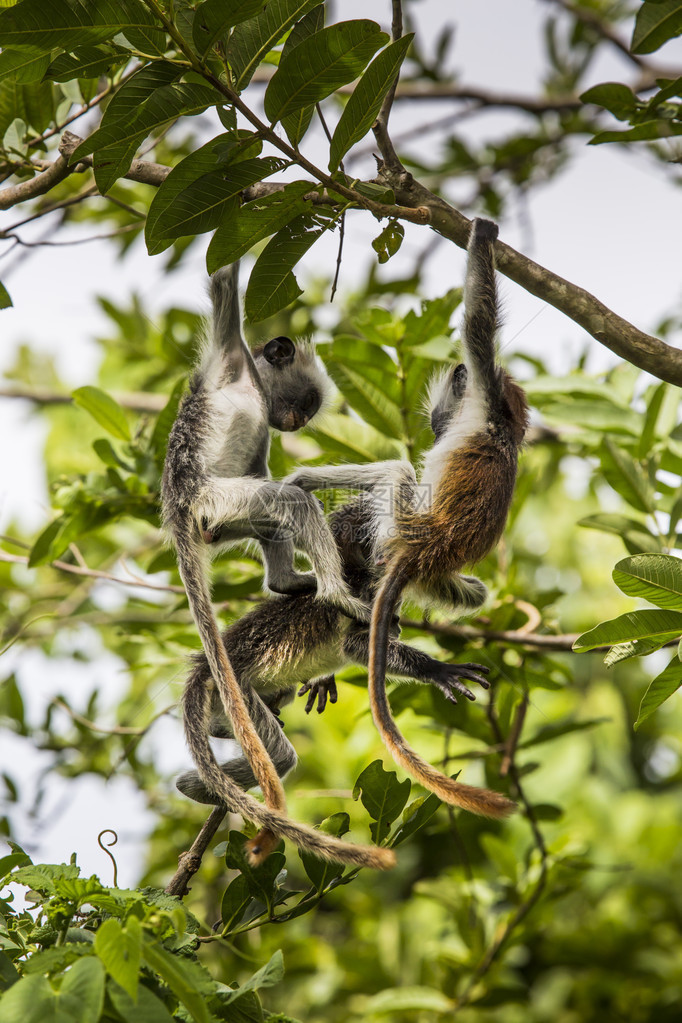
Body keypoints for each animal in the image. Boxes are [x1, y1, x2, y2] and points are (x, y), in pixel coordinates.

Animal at [161, 263, 388, 871]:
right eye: (302, 404)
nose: (292, 422)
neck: (252, 381)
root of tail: (179, 507)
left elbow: (272, 471)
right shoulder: (227, 350)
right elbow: (222, 283)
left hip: (222, 517)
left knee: (278, 506)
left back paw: (289, 583)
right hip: (215, 500)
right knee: (291, 500)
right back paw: (334, 593)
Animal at [282, 219, 527, 818]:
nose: (435, 420)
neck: (507, 426)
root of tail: (428, 545)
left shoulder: (485, 391)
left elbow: (479, 326)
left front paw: (483, 230)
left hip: (398, 523)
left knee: (393, 473)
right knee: (472, 593)